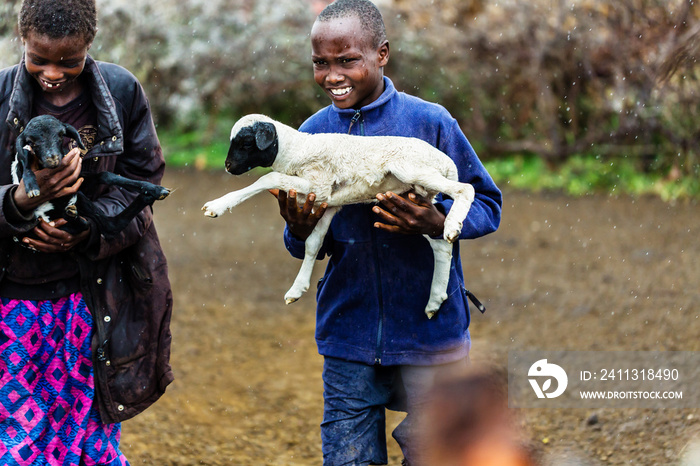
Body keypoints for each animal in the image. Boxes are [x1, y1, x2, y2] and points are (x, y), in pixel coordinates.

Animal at [202, 114, 476, 318]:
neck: (294, 151)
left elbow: (267, 178)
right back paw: (435, 299)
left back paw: (453, 225)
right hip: (415, 200)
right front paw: (296, 289)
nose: (228, 166)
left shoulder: (319, 184)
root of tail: (447, 162)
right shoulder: (328, 202)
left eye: (246, 143)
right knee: (441, 245)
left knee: (466, 189)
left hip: (411, 170)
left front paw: (217, 206)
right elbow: (313, 244)